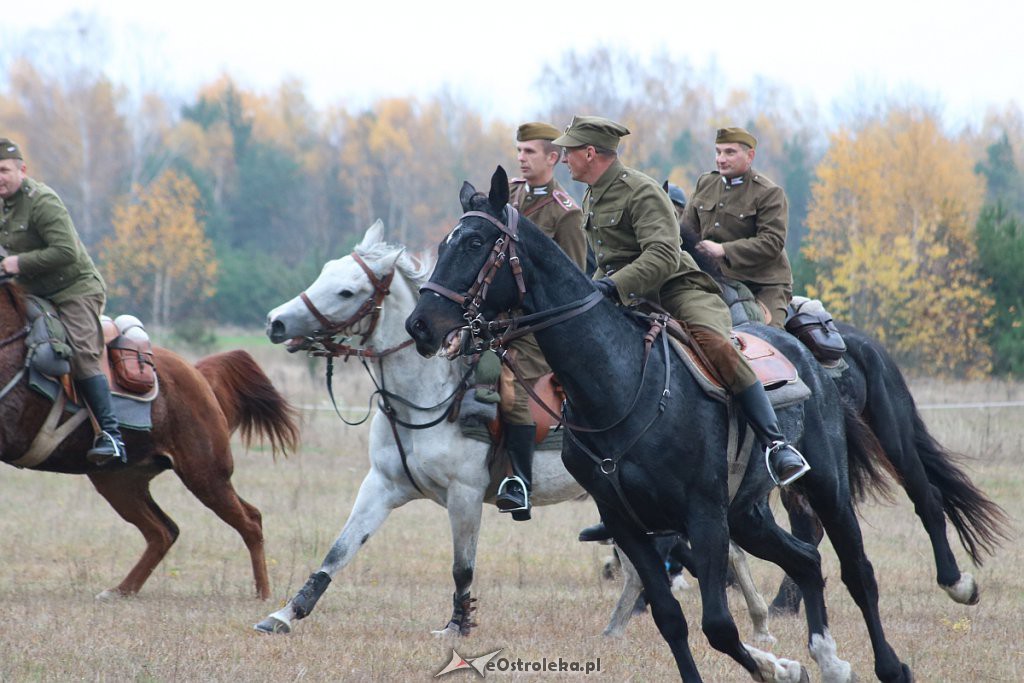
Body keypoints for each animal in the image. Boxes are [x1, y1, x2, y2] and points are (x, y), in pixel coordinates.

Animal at [0, 276, 299, 598]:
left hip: (206, 475)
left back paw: (263, 594)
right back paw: (121, 590)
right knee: (163, 531)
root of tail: (198, 374)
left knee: (250, 521)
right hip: (119, 481)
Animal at [251, 222, 770, 643]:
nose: (276, 321)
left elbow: (462, 567)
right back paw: (621, 627)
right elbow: (338, 551)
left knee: (723, 553)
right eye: (324, 274)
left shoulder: (463, 494)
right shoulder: (381, 486)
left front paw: (457, 626)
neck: (429, 392)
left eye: (347, 291)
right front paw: (285, 613)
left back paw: (759, 622)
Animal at [407, 166, 913, 683]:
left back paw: (889, 666)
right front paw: (783, 667)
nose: (420, 325)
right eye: (446, 243)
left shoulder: (704, 517)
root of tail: (805, 352)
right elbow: (672, 619)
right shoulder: (626, 522)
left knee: (857, 571)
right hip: (746, 514)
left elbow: (719, 626)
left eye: (474, 242)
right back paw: (828, 660)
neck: (621, 381)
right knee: (807, 561)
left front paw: (773, 667)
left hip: (826, 488)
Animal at [675, 224, 1011, 614]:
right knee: (811, 526)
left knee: (925, 498)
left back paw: (956, 582)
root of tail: (868, 345)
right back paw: (786, 600)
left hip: (890, 440)